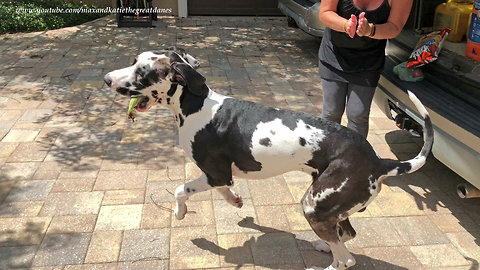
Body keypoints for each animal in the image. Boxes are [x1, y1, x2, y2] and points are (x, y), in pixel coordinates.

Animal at [105, 49, 436, 270]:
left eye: (141, 72)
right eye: (133, 62)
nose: (107, 79)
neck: (197, 105)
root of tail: (379, 161)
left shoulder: (214, 173)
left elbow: (180, 190)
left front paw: (180, 213)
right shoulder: (221, 176)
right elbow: (226, 192)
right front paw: (236, 201)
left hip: (314, 205)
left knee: (347, 260)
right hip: (331, 206)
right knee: (346, 235)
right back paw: (323, 244)